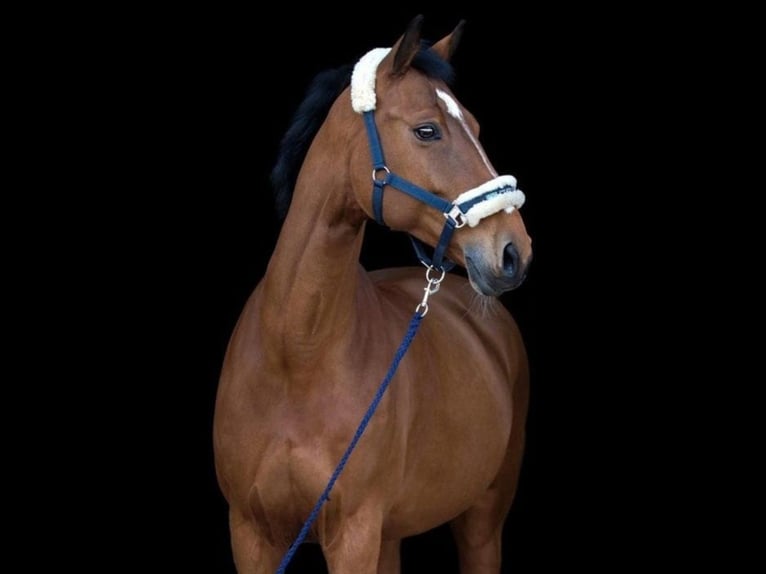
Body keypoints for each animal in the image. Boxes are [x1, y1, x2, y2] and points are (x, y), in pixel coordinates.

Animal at [213, 15, 533, 573]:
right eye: (427, 130)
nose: (514, 251)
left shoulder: (354, 532)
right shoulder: (250, 533)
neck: (295, 356)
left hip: (482, 519)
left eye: (476, 127)